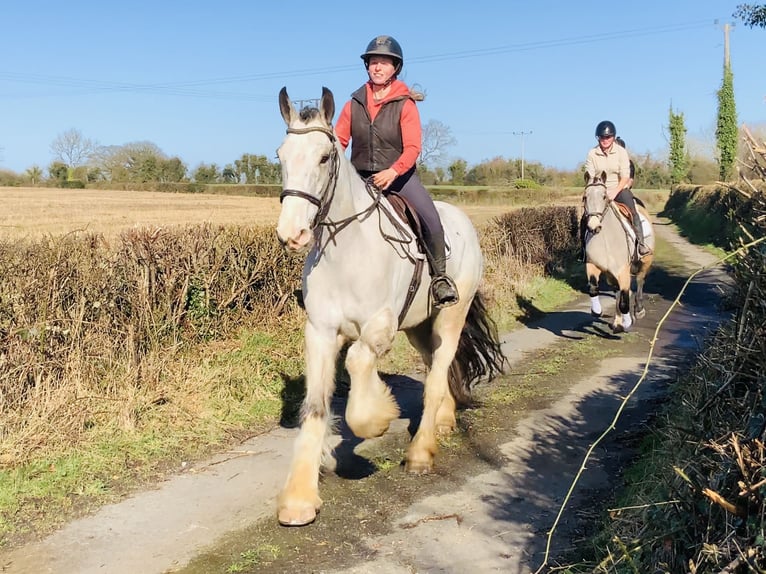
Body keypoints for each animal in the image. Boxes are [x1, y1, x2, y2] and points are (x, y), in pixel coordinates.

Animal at [274, 86, 506, 526]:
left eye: (324, 157)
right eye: (280, 155)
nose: (291, 234)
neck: (345, 250)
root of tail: (463, 220)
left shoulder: (378, 327)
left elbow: (357, 366)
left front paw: (376, 420)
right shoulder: (320, 332)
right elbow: (315, 406)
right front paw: (298, 499)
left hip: (451, 315)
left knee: (438, 372)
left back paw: (421, 452)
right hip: (418, 326)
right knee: (436, 367)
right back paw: (445, 420)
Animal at [582, 171, 655, 333]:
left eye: (604, 196)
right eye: (585, 197)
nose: (594, 227)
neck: (606, 240)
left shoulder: (623, 270)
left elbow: (625, 300)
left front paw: (627, 322)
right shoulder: (593, 265)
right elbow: (593, 288)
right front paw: (597, 310)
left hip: (645, 261)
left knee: (639, 281)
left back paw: (638, 311)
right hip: (611, 274)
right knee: (617, 292)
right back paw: (617, 322)